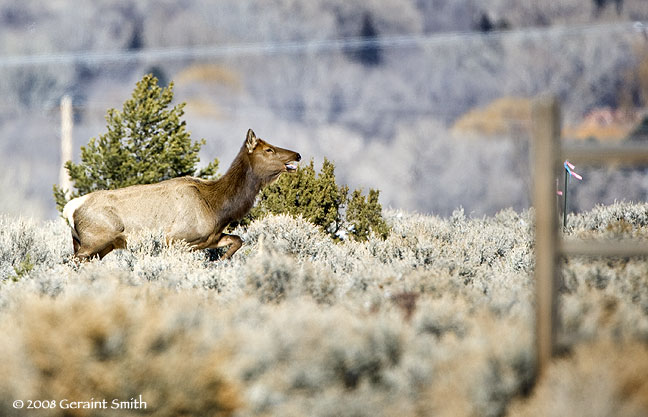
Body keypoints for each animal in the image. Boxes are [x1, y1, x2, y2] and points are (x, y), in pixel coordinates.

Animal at [63, 130, 302, 260]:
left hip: (95, 246)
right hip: (94, 241)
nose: (297, 155)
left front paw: (221, 261)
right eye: (269, 149)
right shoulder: (176, 237)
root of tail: (70, 208)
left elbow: (237, 240)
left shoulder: (209, 238)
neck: (216, 207)